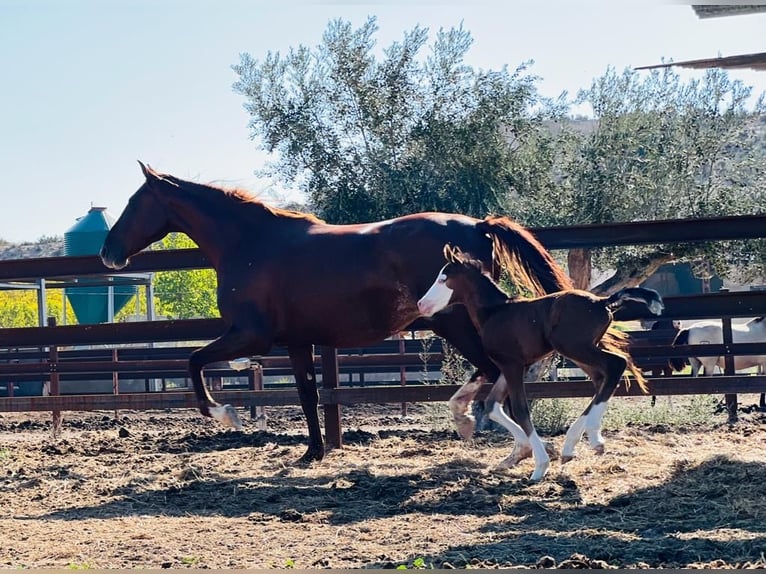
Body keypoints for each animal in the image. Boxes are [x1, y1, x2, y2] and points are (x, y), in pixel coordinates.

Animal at [100, 162, 576, 464]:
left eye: (134, 203)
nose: (108, 252)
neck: (250, 245)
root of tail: (477, 225)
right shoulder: (296, 342)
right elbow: (308, 395)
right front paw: (313, 451)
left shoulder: (250, 335)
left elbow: (194, 360)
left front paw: (225, 414)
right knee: (497, 374)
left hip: (456, 323)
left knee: (494, 370)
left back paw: (488, 432)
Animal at [416, 246, 664, 482]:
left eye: (443, 278)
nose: (421, 305)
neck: (494, 312)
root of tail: (602, 302)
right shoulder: (513, 366)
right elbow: (493, 406)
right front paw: (527, 454)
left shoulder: (512, 365)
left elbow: (520, 409)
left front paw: (540, 465)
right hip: (580, 351)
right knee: (601, 379)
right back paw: (574, 445)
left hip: (575, 347)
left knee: (615, 365)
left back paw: (592, 438)